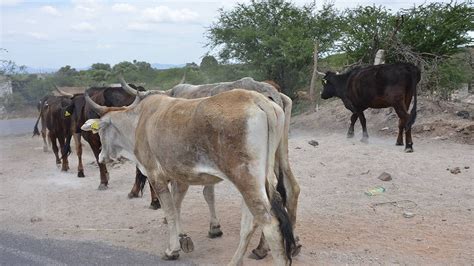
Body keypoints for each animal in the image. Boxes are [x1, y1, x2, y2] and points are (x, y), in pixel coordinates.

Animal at [82, 90, 296, 264]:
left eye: (100, 130)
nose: (101, 156)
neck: (138, 122)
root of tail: (258, 100)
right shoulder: (179, 177)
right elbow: (176, 207)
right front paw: (183, 238)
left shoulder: (155, 176)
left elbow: (169, 211)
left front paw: (172, 250)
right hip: (258, 180)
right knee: (251, 222)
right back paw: (235, 261)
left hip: (246, 180)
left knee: (270, 225)